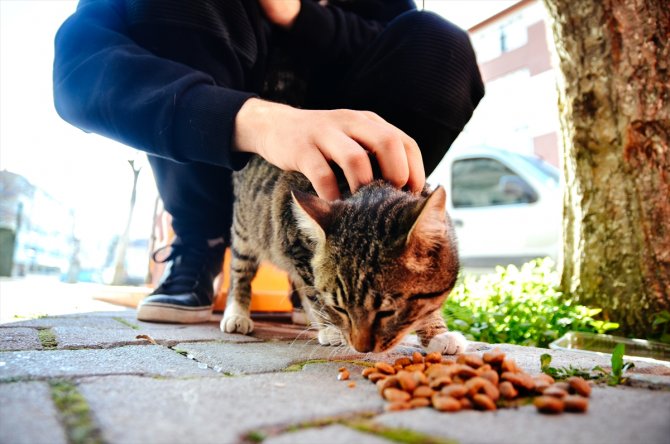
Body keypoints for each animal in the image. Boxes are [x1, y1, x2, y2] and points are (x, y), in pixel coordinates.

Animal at [220, 154, 468, 356]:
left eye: (388, 312)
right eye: (340, 307)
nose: (361, 348)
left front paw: (437, 333)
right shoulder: (295, 245)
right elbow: (314, 292)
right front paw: (330, 327)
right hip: (245, 230)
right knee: (240, 271)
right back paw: (237, 314)